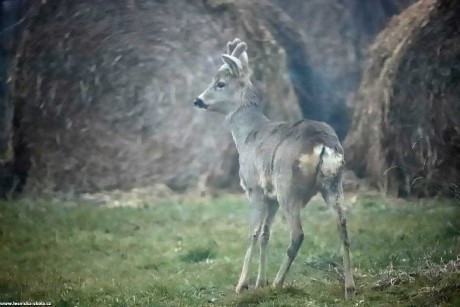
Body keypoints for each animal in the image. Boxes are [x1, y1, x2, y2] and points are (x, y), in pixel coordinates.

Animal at [194, 37, 356, 300]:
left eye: (220, 83)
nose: (198, 100)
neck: (247, 135)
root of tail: (323, 144)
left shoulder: (254, 188)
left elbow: (252, 233)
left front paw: (243, 285)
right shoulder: (271, 197)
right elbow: (265, 234)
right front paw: (259, 282)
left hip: (288, 186)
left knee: (298, 234)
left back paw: (278, 283)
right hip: (333, 184)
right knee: (342, 226)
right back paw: (349, 288)